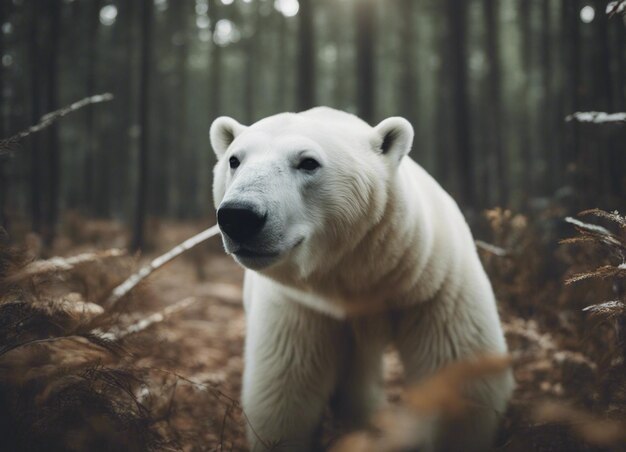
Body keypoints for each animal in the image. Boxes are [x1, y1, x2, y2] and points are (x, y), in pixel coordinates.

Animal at [210, 107, 512, 450]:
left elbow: (459, 374)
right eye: (235, 160)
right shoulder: (302, 305)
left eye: (308, 162)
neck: (359, 273)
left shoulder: (432, 285)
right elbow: (284, 392)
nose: (239, 216)